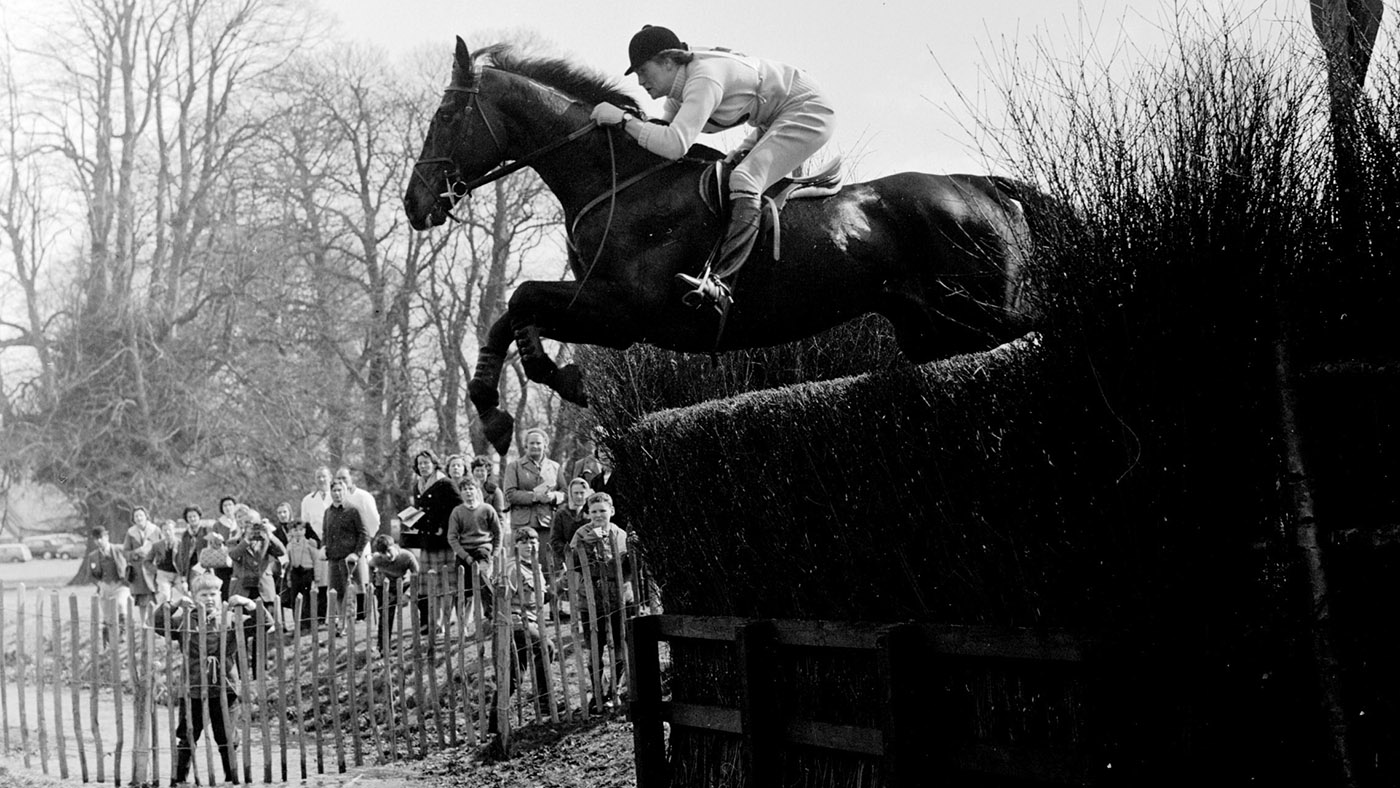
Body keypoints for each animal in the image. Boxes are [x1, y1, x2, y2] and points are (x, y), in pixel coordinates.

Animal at [405, 38, 1047, 455]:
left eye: (446, 114)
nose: (414, 205)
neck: (618, 180)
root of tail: (979, 183)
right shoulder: (602, 306)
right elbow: (512, 313)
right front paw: (502, 407)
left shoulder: (624, 312)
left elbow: (520, 300)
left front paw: (547, 385)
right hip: (932, 330)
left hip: (980, 309)